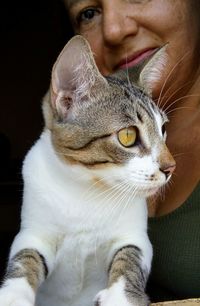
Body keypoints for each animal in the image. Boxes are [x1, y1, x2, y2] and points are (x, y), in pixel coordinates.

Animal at [0, 34, 175, 304]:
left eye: (162, 129)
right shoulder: (32, 232)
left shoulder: (135, 236)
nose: (170, 167)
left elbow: (130, 257)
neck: (86, 188)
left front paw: (120, 296)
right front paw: (13, 295)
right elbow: (25, 258)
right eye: (128, 136)